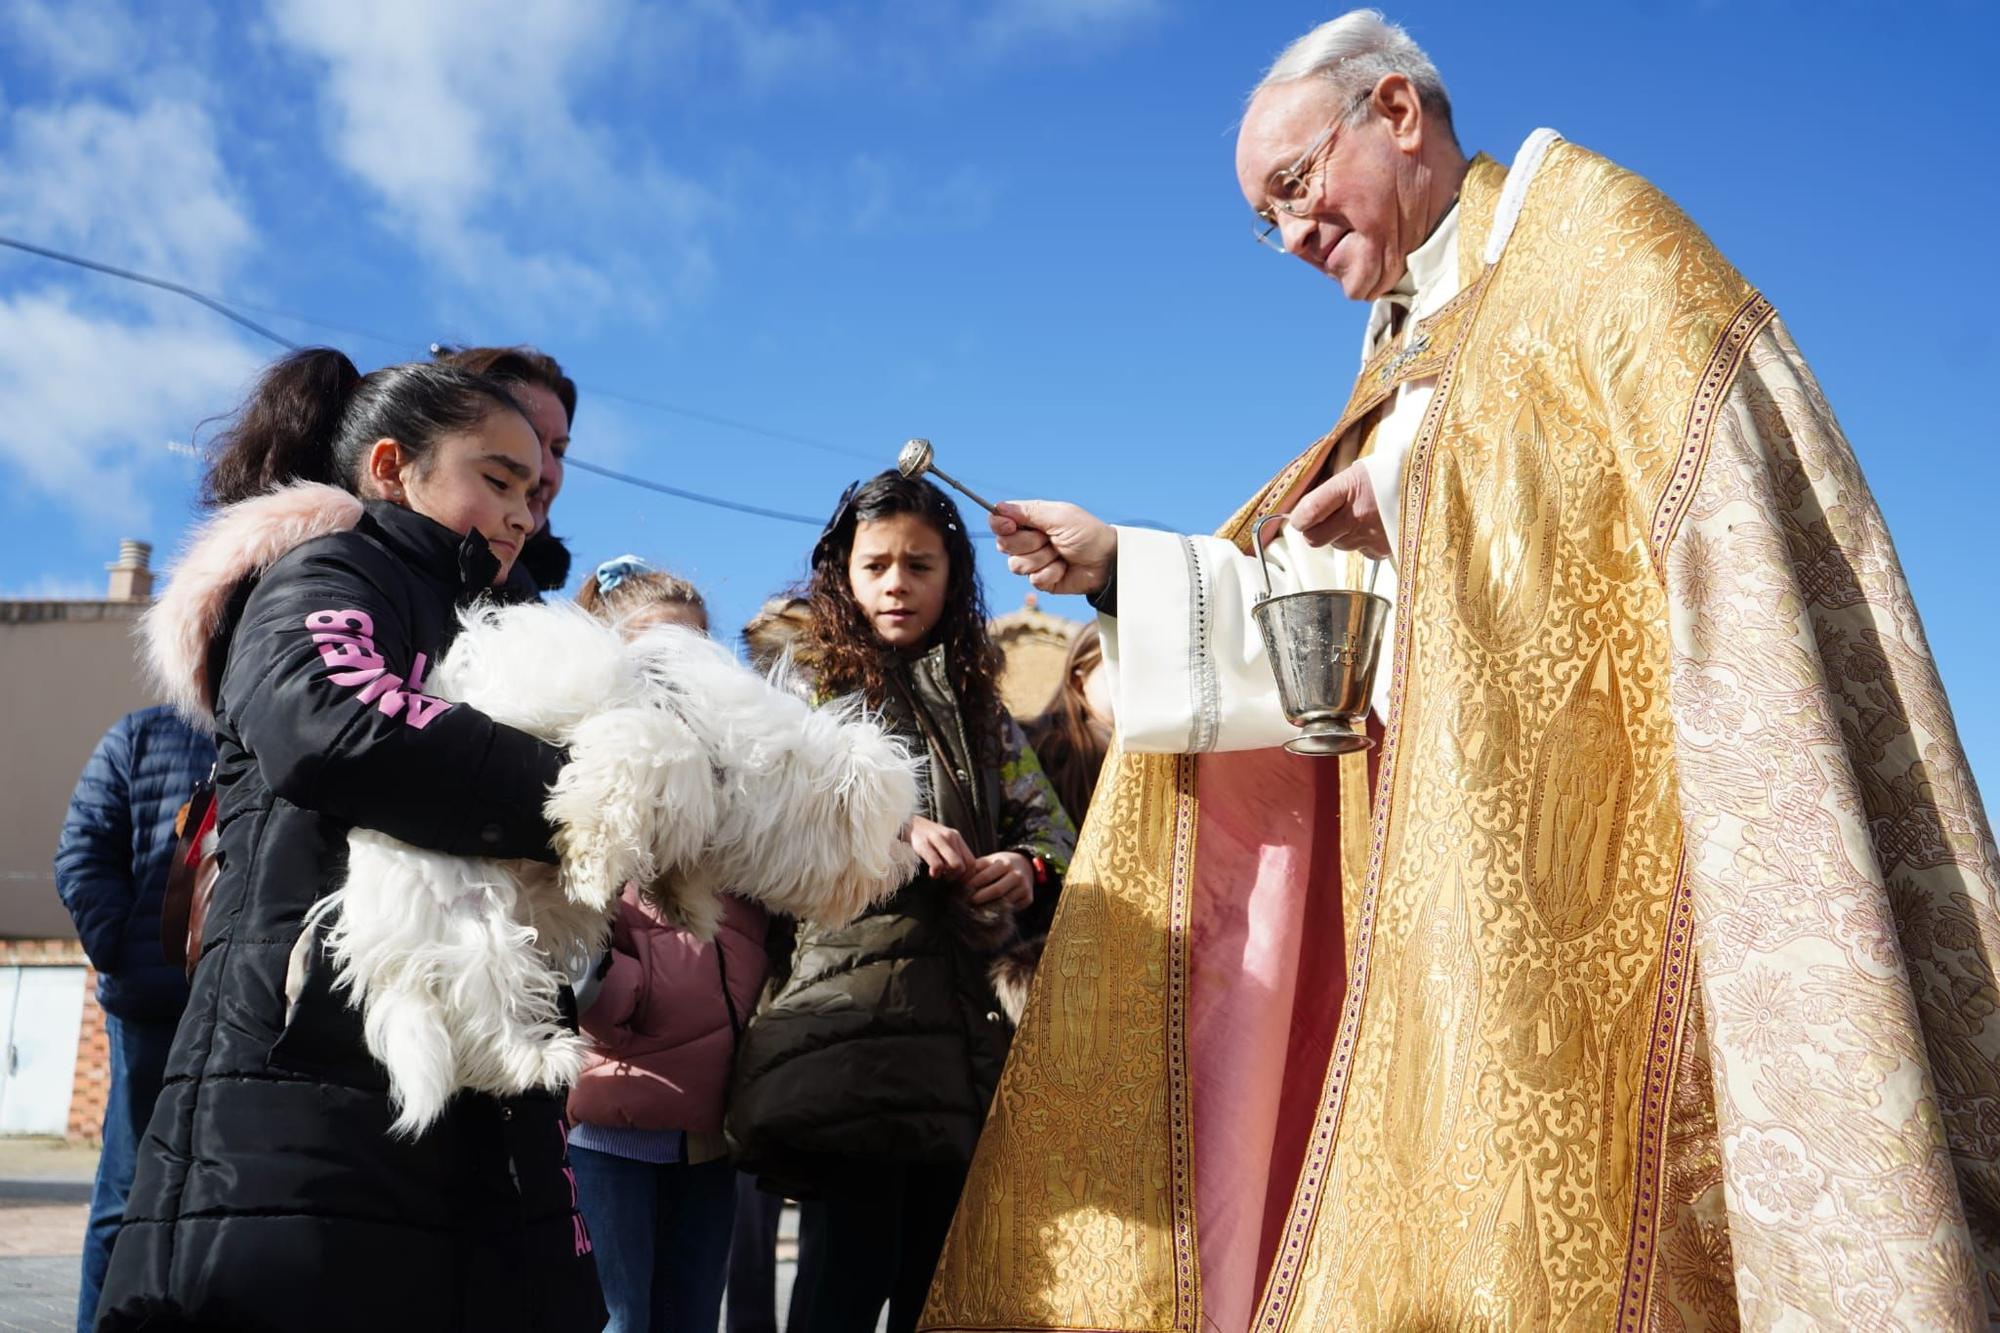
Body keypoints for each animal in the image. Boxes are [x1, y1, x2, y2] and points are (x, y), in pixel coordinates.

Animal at [306, 600, 920, 1128]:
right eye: (893, 830)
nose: (909, 864)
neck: (738, 757)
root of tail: (387, 948)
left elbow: (682, 847)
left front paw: (688, 906)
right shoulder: (642, 737)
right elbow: (635, 772)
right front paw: (593, 869)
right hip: (472, 923)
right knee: (484, 1013)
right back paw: (536, 1061)